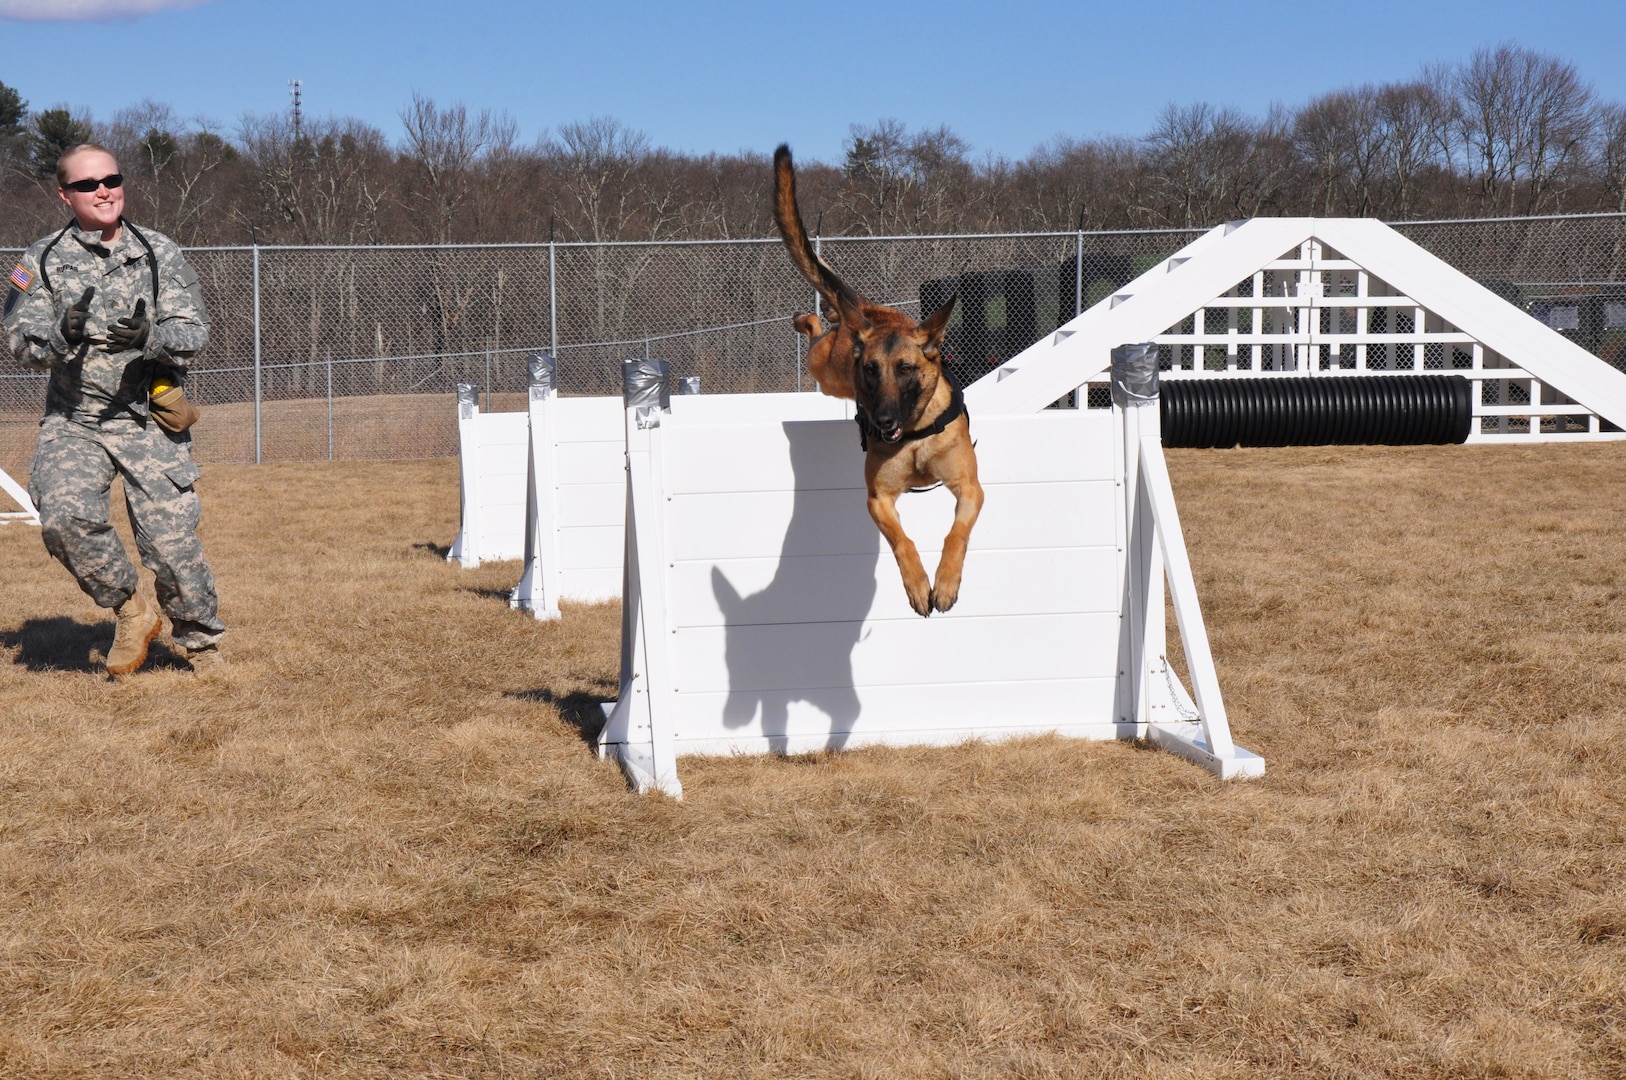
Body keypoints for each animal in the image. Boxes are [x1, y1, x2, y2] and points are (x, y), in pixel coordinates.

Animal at [770, 144, 982, 614]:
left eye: (905, 369)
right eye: (869, 371)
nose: (883, 422)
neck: (915, 434)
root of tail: (869, 313)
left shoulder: (969, 488)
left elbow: (955, 533)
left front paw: (946, 581)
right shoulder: (878, 499)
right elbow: (903, 541)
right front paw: (918, 584)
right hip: (825, 369)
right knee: (818, 326)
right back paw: (806, 318)